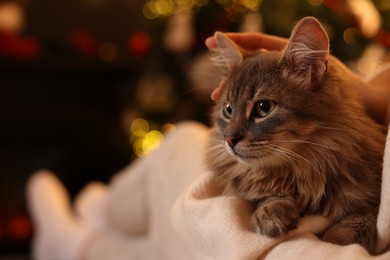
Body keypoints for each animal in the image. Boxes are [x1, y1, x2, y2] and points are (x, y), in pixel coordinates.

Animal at [206, 16, 386, 254]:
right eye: (228, 110)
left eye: (264, 108)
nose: (229, 139)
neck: (306, 166)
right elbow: (265, 193)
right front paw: (271, 212)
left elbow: (364, 216)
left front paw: (337, 238)